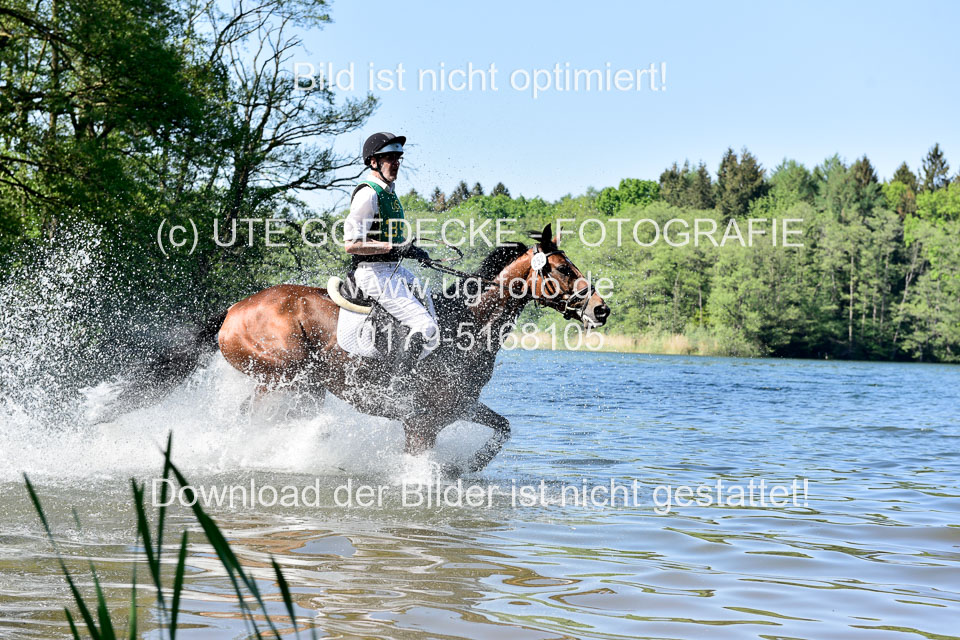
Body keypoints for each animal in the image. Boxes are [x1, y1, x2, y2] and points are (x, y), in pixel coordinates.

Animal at [112, 223, 609, 472]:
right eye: (562, 269)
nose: (600, 309)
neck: (468, 326)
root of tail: (235, 307)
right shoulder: (421, 422)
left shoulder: (458, 406)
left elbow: (503, 430)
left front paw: (463, 470)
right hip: (283, 378)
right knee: (251, 421)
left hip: (300, 386)